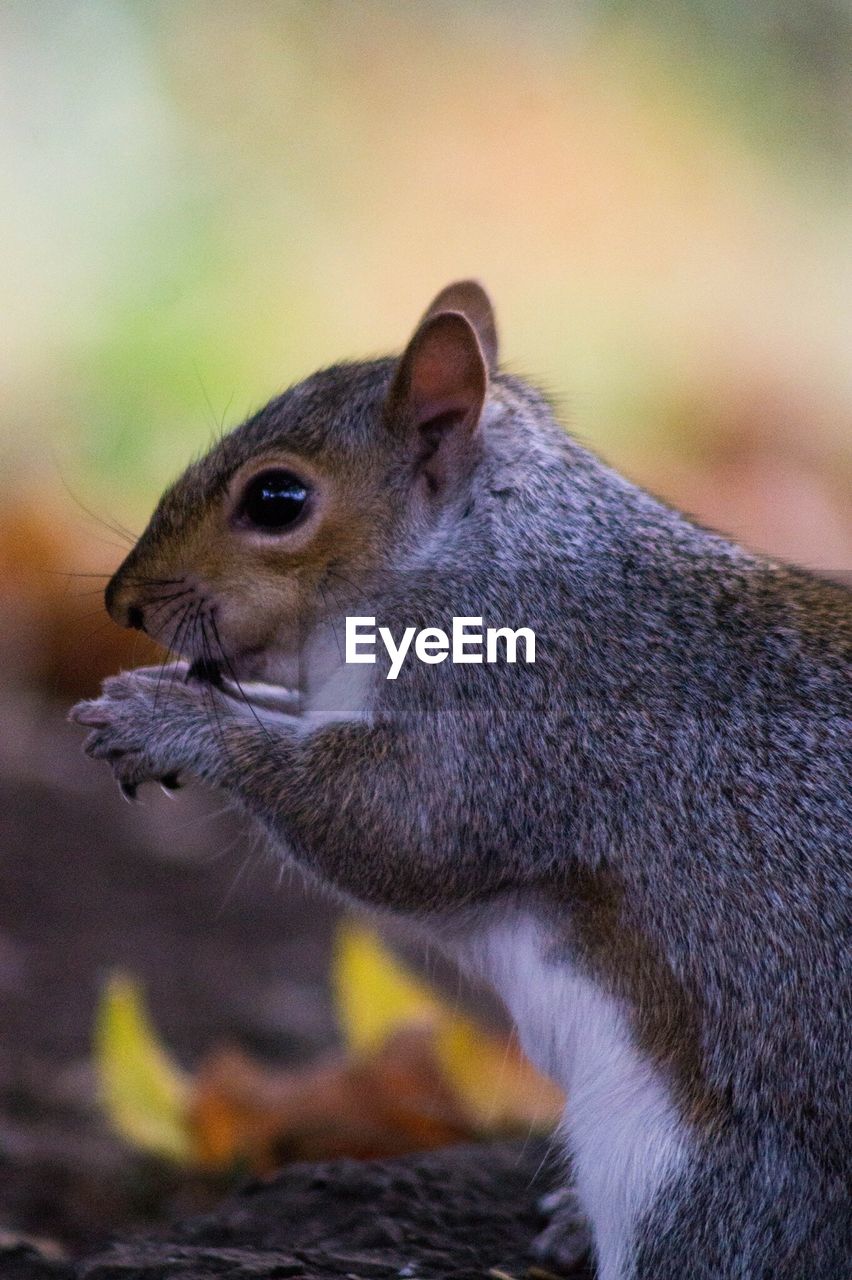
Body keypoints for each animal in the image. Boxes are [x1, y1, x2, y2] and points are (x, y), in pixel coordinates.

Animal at [72, 285, 849, 1274]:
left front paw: (163, 717)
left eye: (277, 499)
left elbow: (402, 829)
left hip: (707, 1191)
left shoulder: (515, 706)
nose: (122, 604)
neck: (471, 552)